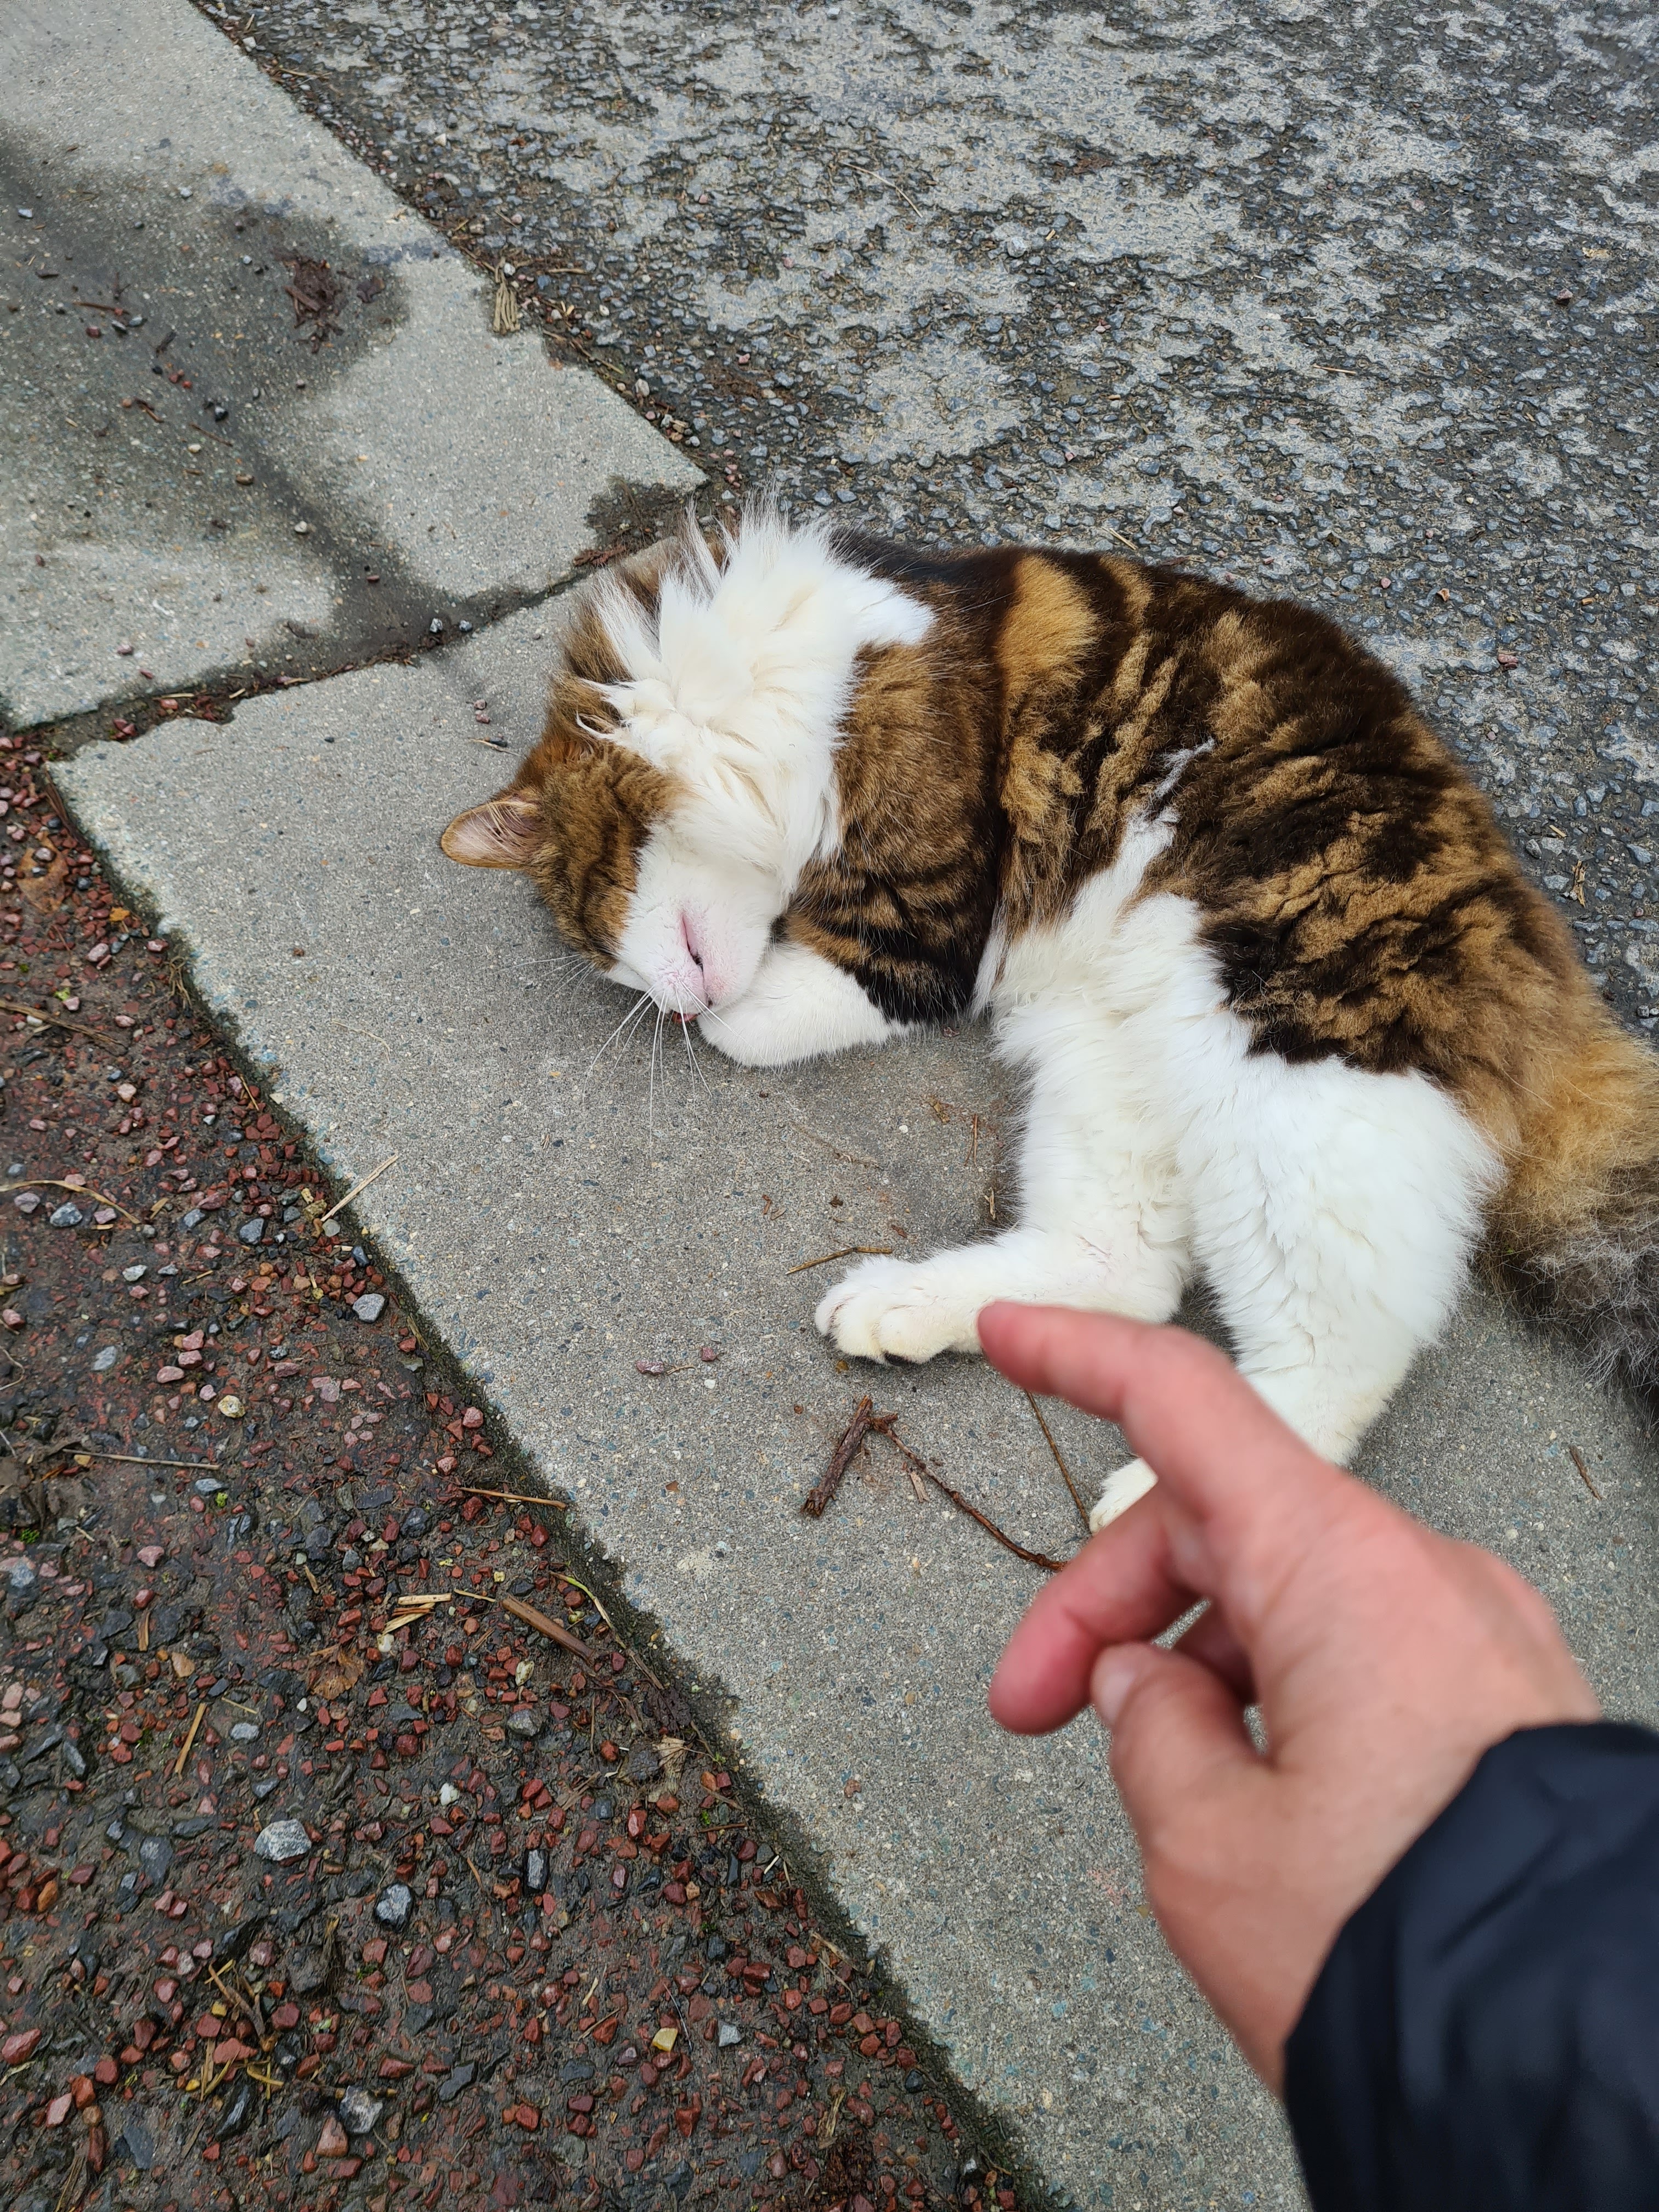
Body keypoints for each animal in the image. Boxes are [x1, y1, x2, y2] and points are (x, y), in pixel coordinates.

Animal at [442, 510, 1659, 1528]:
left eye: (596, 927)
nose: (665, 1000)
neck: (745, 687)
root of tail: (1531, 937)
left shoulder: (917, 929)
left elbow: (769, 1011)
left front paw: (726, 1010)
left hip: (1290, 1073)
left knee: (1336, 1349)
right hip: (1116, 1065)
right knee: (1127, 1271)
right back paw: (906, 1305)